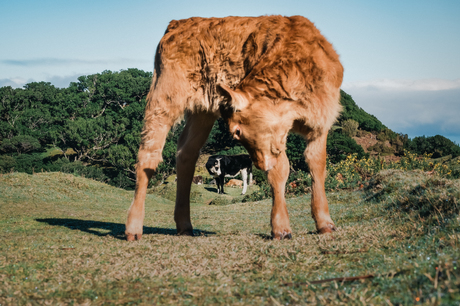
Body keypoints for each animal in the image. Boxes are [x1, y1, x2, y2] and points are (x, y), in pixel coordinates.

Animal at [125, 15, 342, 240]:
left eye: (237, 131)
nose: (259, 165)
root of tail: (178, 23)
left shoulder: (319, 124)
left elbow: (317, 165)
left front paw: (325, 223)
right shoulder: (273, 140)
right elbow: (280, 171)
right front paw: (281, 228)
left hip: (202, 111)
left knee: (186, 152)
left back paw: (184, 226)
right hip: (164, 97)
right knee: (148, 154)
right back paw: (134, 228)